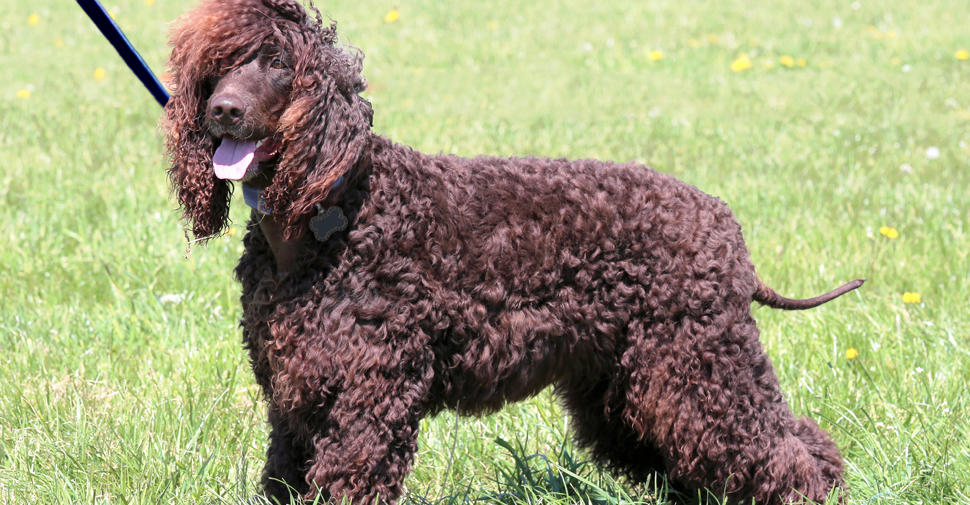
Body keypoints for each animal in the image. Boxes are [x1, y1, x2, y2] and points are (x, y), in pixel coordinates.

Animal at [163, 1, 860, 502]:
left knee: (783, 450)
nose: (222, 110)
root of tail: (723, 222)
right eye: (215, 68)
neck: (325, 216)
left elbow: (349, 480)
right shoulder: (294, 394)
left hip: (698, 361)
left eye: (278, 62)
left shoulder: (368, 395)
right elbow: (282, 477)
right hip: (625, 386)